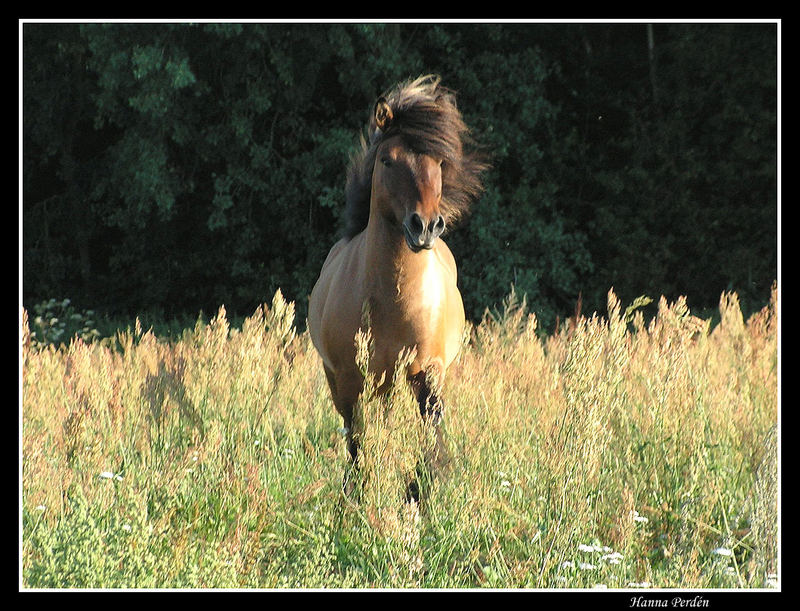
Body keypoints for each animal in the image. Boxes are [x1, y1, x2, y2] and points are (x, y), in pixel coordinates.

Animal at [308, 74, 484, 482]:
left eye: (440, 162)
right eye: (387, 160)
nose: (425, 227)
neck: (393, 300)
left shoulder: (428, 375)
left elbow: (432, 445)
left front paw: (419, 489)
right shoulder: (350, 381)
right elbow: (357, 448)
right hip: (347, 382)